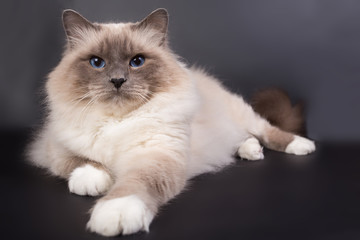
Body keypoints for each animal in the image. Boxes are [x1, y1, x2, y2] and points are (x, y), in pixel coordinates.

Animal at [27, 8, 316, 237]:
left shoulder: (155, 156)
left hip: (244, 115)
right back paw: (251, 151)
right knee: (241, 139)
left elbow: (133, 186)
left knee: (267, 131)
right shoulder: (55, 149)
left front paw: (115, 212)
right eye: (97, 63)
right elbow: (83, 161)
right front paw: (93, 181)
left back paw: (301, 146)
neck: (117, 121)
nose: (118, 81)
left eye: (137, 61)